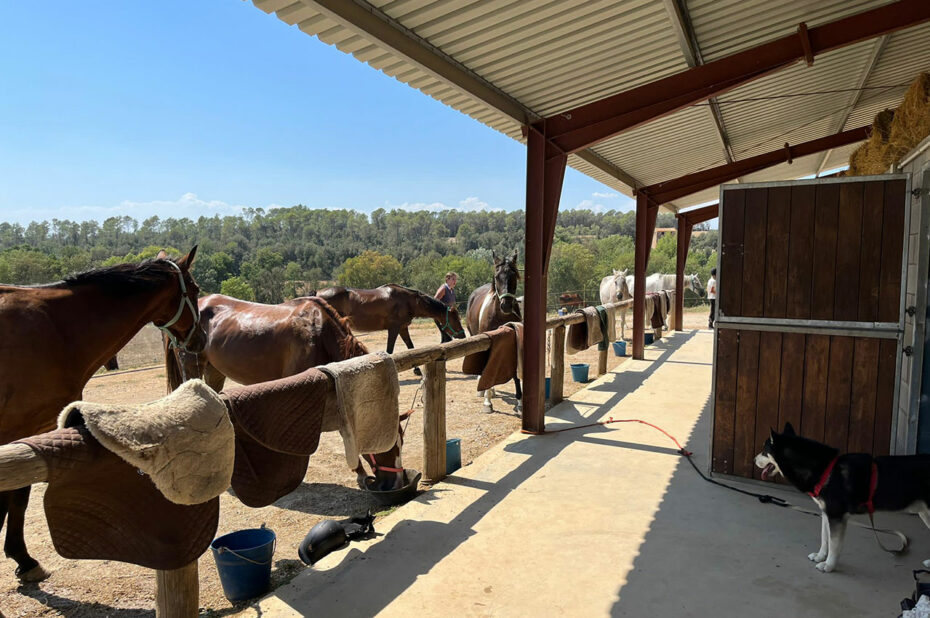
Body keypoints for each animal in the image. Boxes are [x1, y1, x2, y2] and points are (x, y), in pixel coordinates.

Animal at [0, 248, 203, 580]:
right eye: (196, 290)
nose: (201, 338)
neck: (58, 328)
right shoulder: (23, 428)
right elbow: (16, 494)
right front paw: (25, 559)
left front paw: (21, 558)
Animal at [167, 294, 406, 490]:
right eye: (382, 440)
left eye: (401, 439)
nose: (395, 482)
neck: (318, 334)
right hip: (192, 367)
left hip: (215, 371)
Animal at [318, 282, 464, 354]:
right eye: (455, 319)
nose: (463, 335)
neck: (407, 301)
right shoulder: (394, 329)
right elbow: (389, 350)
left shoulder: (403, 328)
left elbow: (410, 347)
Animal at [752, 422, 928, 572]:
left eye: (764, 451)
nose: (753, 459)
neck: (825, 470)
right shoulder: (826, 513)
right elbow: (825, 538)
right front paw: (820, 556)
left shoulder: (836, 515)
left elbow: (834, 544)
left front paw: (828, 565)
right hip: (925, 513)